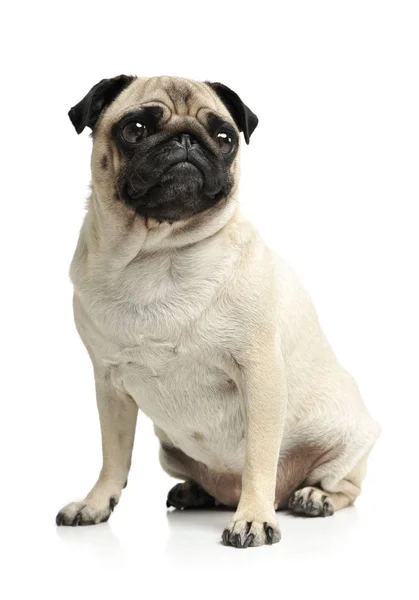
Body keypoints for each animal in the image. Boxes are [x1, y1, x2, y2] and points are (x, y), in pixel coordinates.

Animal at [55, 75, 380, 548]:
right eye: (135, 129)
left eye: (225, 138)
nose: (187, 139)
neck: (157, 255)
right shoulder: (108, 385)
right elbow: (113, 456)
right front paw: (96, 503)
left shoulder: (260, 374)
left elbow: (260, 457)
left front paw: (255, 519)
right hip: (169, 449)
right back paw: (195, 492)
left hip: (346, 439)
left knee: (345, 486)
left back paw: (313, 497)